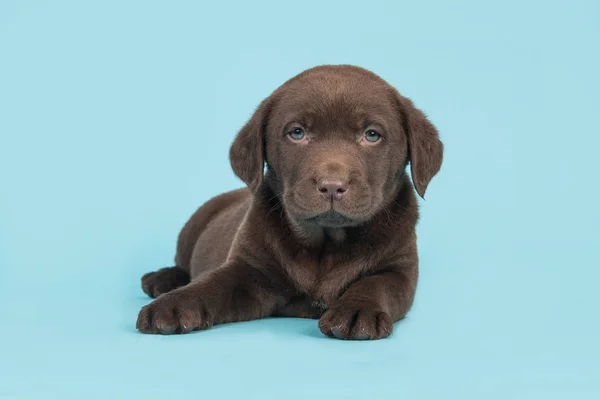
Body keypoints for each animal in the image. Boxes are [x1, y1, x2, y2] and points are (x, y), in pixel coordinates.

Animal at [138, 64, 442, 340]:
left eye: (372, 135)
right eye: (297, 133)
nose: (332, 186)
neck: (327, 243)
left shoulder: (399, 268)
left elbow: (376, 284)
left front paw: (358, 311)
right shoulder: (248, 270)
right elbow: (212, 283)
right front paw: (173, 305)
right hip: (192, 227)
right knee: (182, 263)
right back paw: (162, 279)